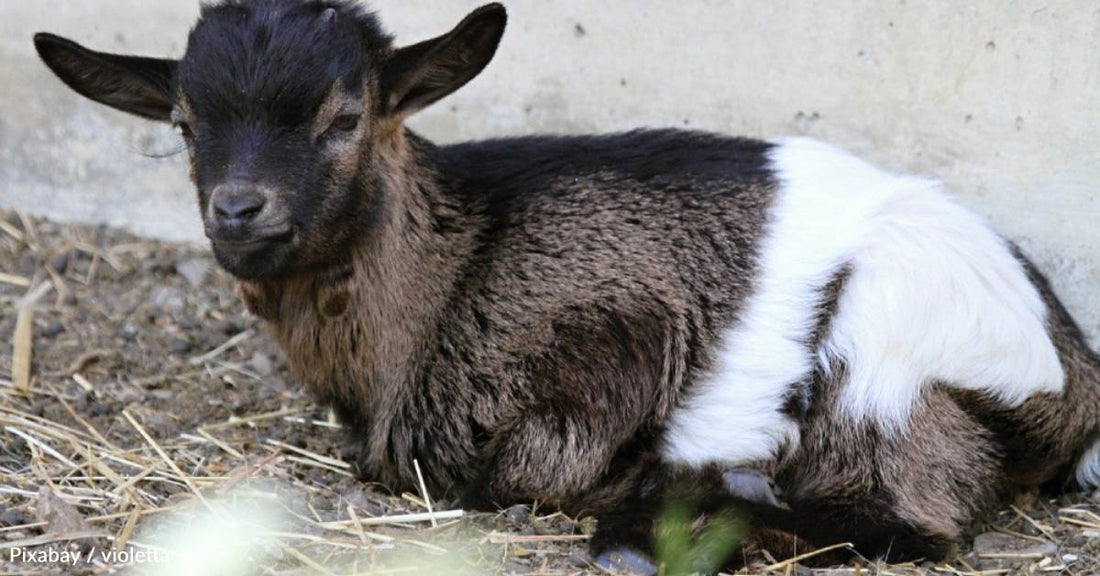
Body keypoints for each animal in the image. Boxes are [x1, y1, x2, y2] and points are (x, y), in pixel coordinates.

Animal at [32, 0, 1100, 571]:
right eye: (181, 123)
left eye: (345, 116)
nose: (240, 212)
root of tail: (1073, 379)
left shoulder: (606, 339)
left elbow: (515, 470)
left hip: (887, 363)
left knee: (917, 521)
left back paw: (657, 521)